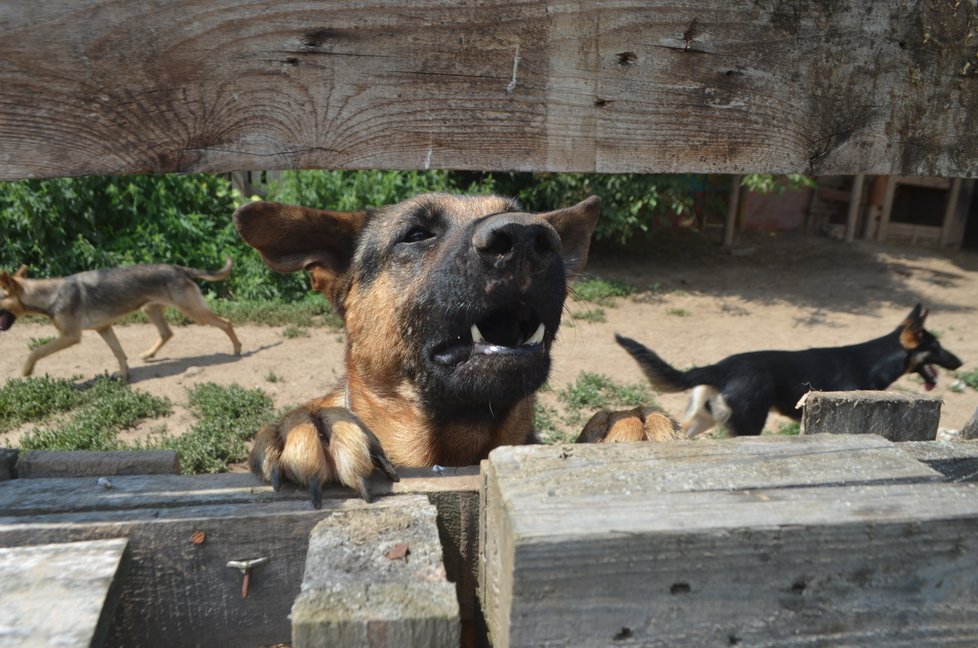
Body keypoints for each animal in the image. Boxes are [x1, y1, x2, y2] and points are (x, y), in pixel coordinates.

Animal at [0, 260, 242, 380]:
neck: (49, 294)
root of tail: (179, 268)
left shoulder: (70, 337)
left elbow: (36, 351)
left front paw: (26, 371)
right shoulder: (104, 328)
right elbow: (119, 353)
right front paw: (124, 375)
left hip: (192, 310)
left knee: (226, 322)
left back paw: (237, 349)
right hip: (150, 309)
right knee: (167, 332)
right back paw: (149, 353)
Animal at [616, 306, 960, 438]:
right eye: (937, 347)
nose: (959, 362)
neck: (873, 359)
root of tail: (720, 368)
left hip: (704, 418)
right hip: (749, 425)